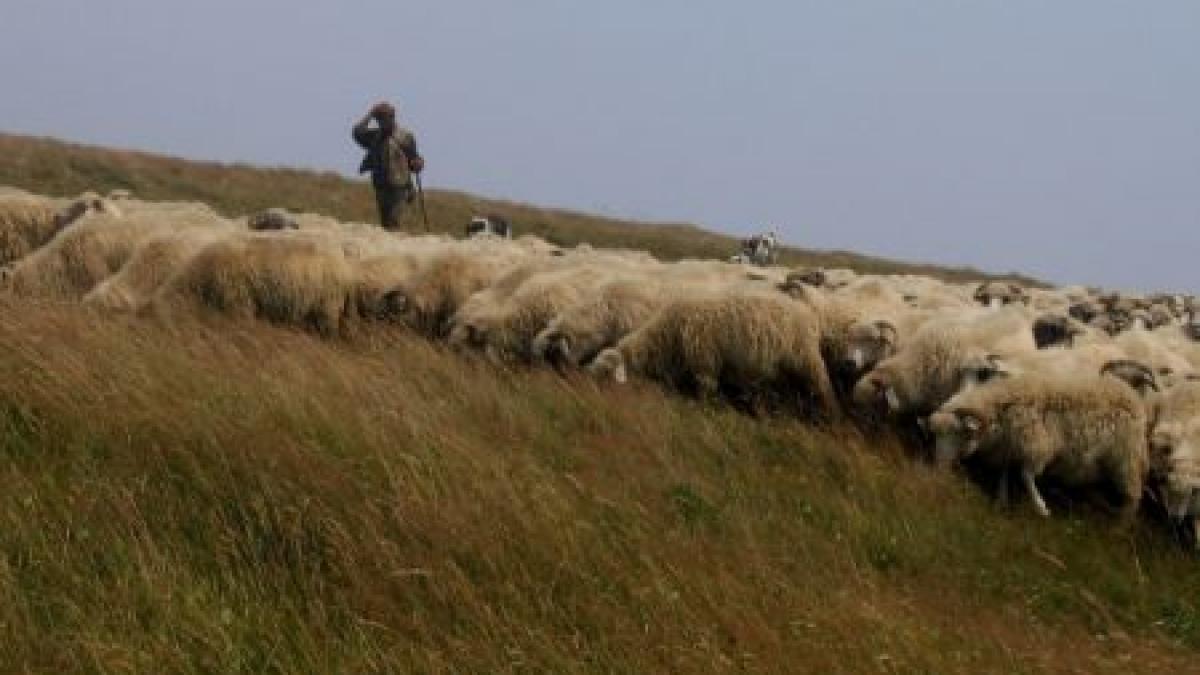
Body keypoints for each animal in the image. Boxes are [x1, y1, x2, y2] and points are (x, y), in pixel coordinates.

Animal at [588, 290, 835, 420]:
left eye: (606, 374)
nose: (596, 405)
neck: (668, 336)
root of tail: (809, 313)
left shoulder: (705, 366)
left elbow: (705, 396)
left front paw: (704, 414)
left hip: (805, 359)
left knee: (822, 389)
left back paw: (828, 418)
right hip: (782, 370)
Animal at [921, 367, 1147, 521]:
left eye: (958, 433)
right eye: (936, 434)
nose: (938, 466)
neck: (1002, 408)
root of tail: (1132, 395)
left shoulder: (1037, 446)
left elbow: (1025, 475)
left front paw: (1041, 507)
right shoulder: (1009, 446)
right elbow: (1004, 471)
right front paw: (1001, 500)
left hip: (1125, 458)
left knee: (1133, 496)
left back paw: (1120, 525)